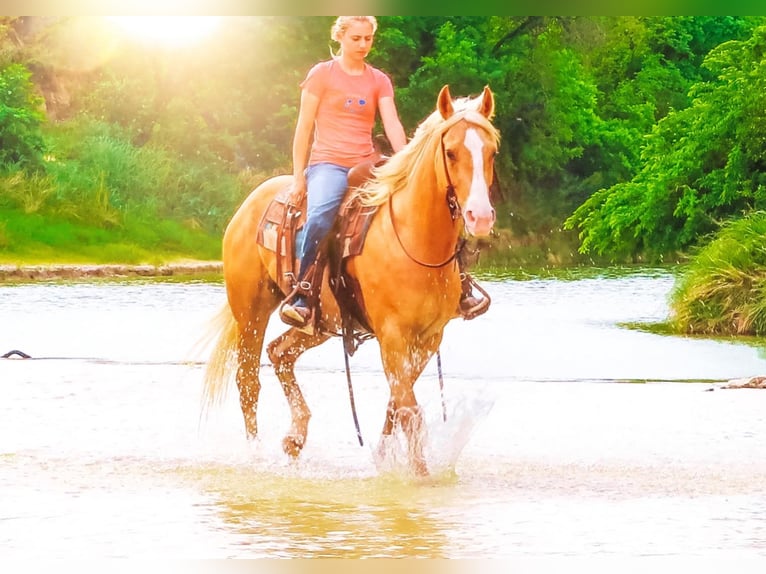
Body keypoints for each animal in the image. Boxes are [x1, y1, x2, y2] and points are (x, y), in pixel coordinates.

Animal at [204, 84, 500, 476]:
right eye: (450, 152)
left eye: (492, 151)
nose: (480, 216)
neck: (413, 240)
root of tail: (249, 204)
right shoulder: (392, 336)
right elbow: (410, 410)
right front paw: (419, 477)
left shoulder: (428, 338)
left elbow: (396, 403)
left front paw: (385, 458)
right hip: (251, 312)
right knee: (248, 380)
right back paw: (255, 455)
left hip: (318, 323)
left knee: (280, 353)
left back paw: (294, 438)